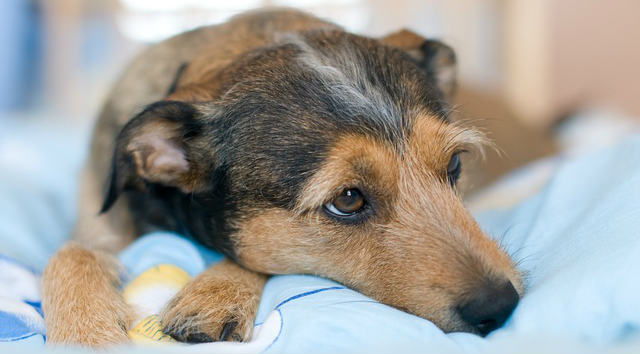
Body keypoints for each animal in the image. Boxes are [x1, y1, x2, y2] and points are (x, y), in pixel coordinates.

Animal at [40, 7, 524, 346]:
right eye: (347, 199)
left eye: (455, 165)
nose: (502, 306)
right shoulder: (98, 227)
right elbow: (69, 254)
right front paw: (87, 336)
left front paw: (215, 292)